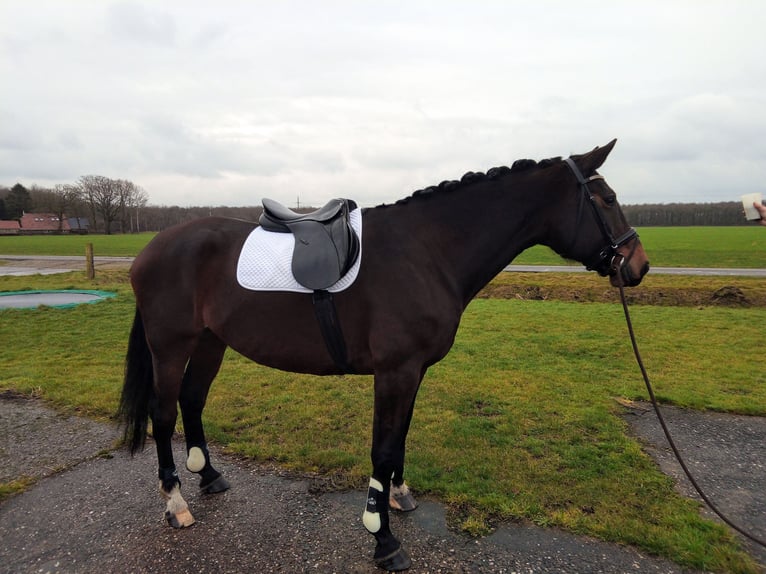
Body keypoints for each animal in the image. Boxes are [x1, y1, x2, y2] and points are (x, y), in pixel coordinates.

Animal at [119, 140, 649, 571]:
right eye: (607, 200)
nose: (639, 265)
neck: (427, 251)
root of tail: (153, 247)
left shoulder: (413, 372)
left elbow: (400, 436)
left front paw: (397, 496)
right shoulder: (395, 371)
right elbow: (384, 446)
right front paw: (382, 538)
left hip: (212, 341)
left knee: (192, 400)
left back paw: (209, 477)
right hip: (171, 346)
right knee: (163, 414)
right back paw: (176, 504)